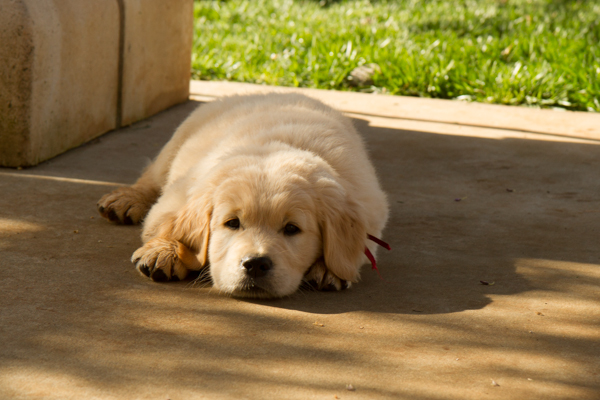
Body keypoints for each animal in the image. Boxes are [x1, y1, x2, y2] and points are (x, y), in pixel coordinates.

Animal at [97, 93, 389, 298]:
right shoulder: (178, 194)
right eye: (232, 223)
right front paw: (166, 252)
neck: (275, 149)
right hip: (178, 140)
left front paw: (328, 268)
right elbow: (164, 223)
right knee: (151, 175)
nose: (256, 264)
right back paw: (125, 200)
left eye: (291, 229)